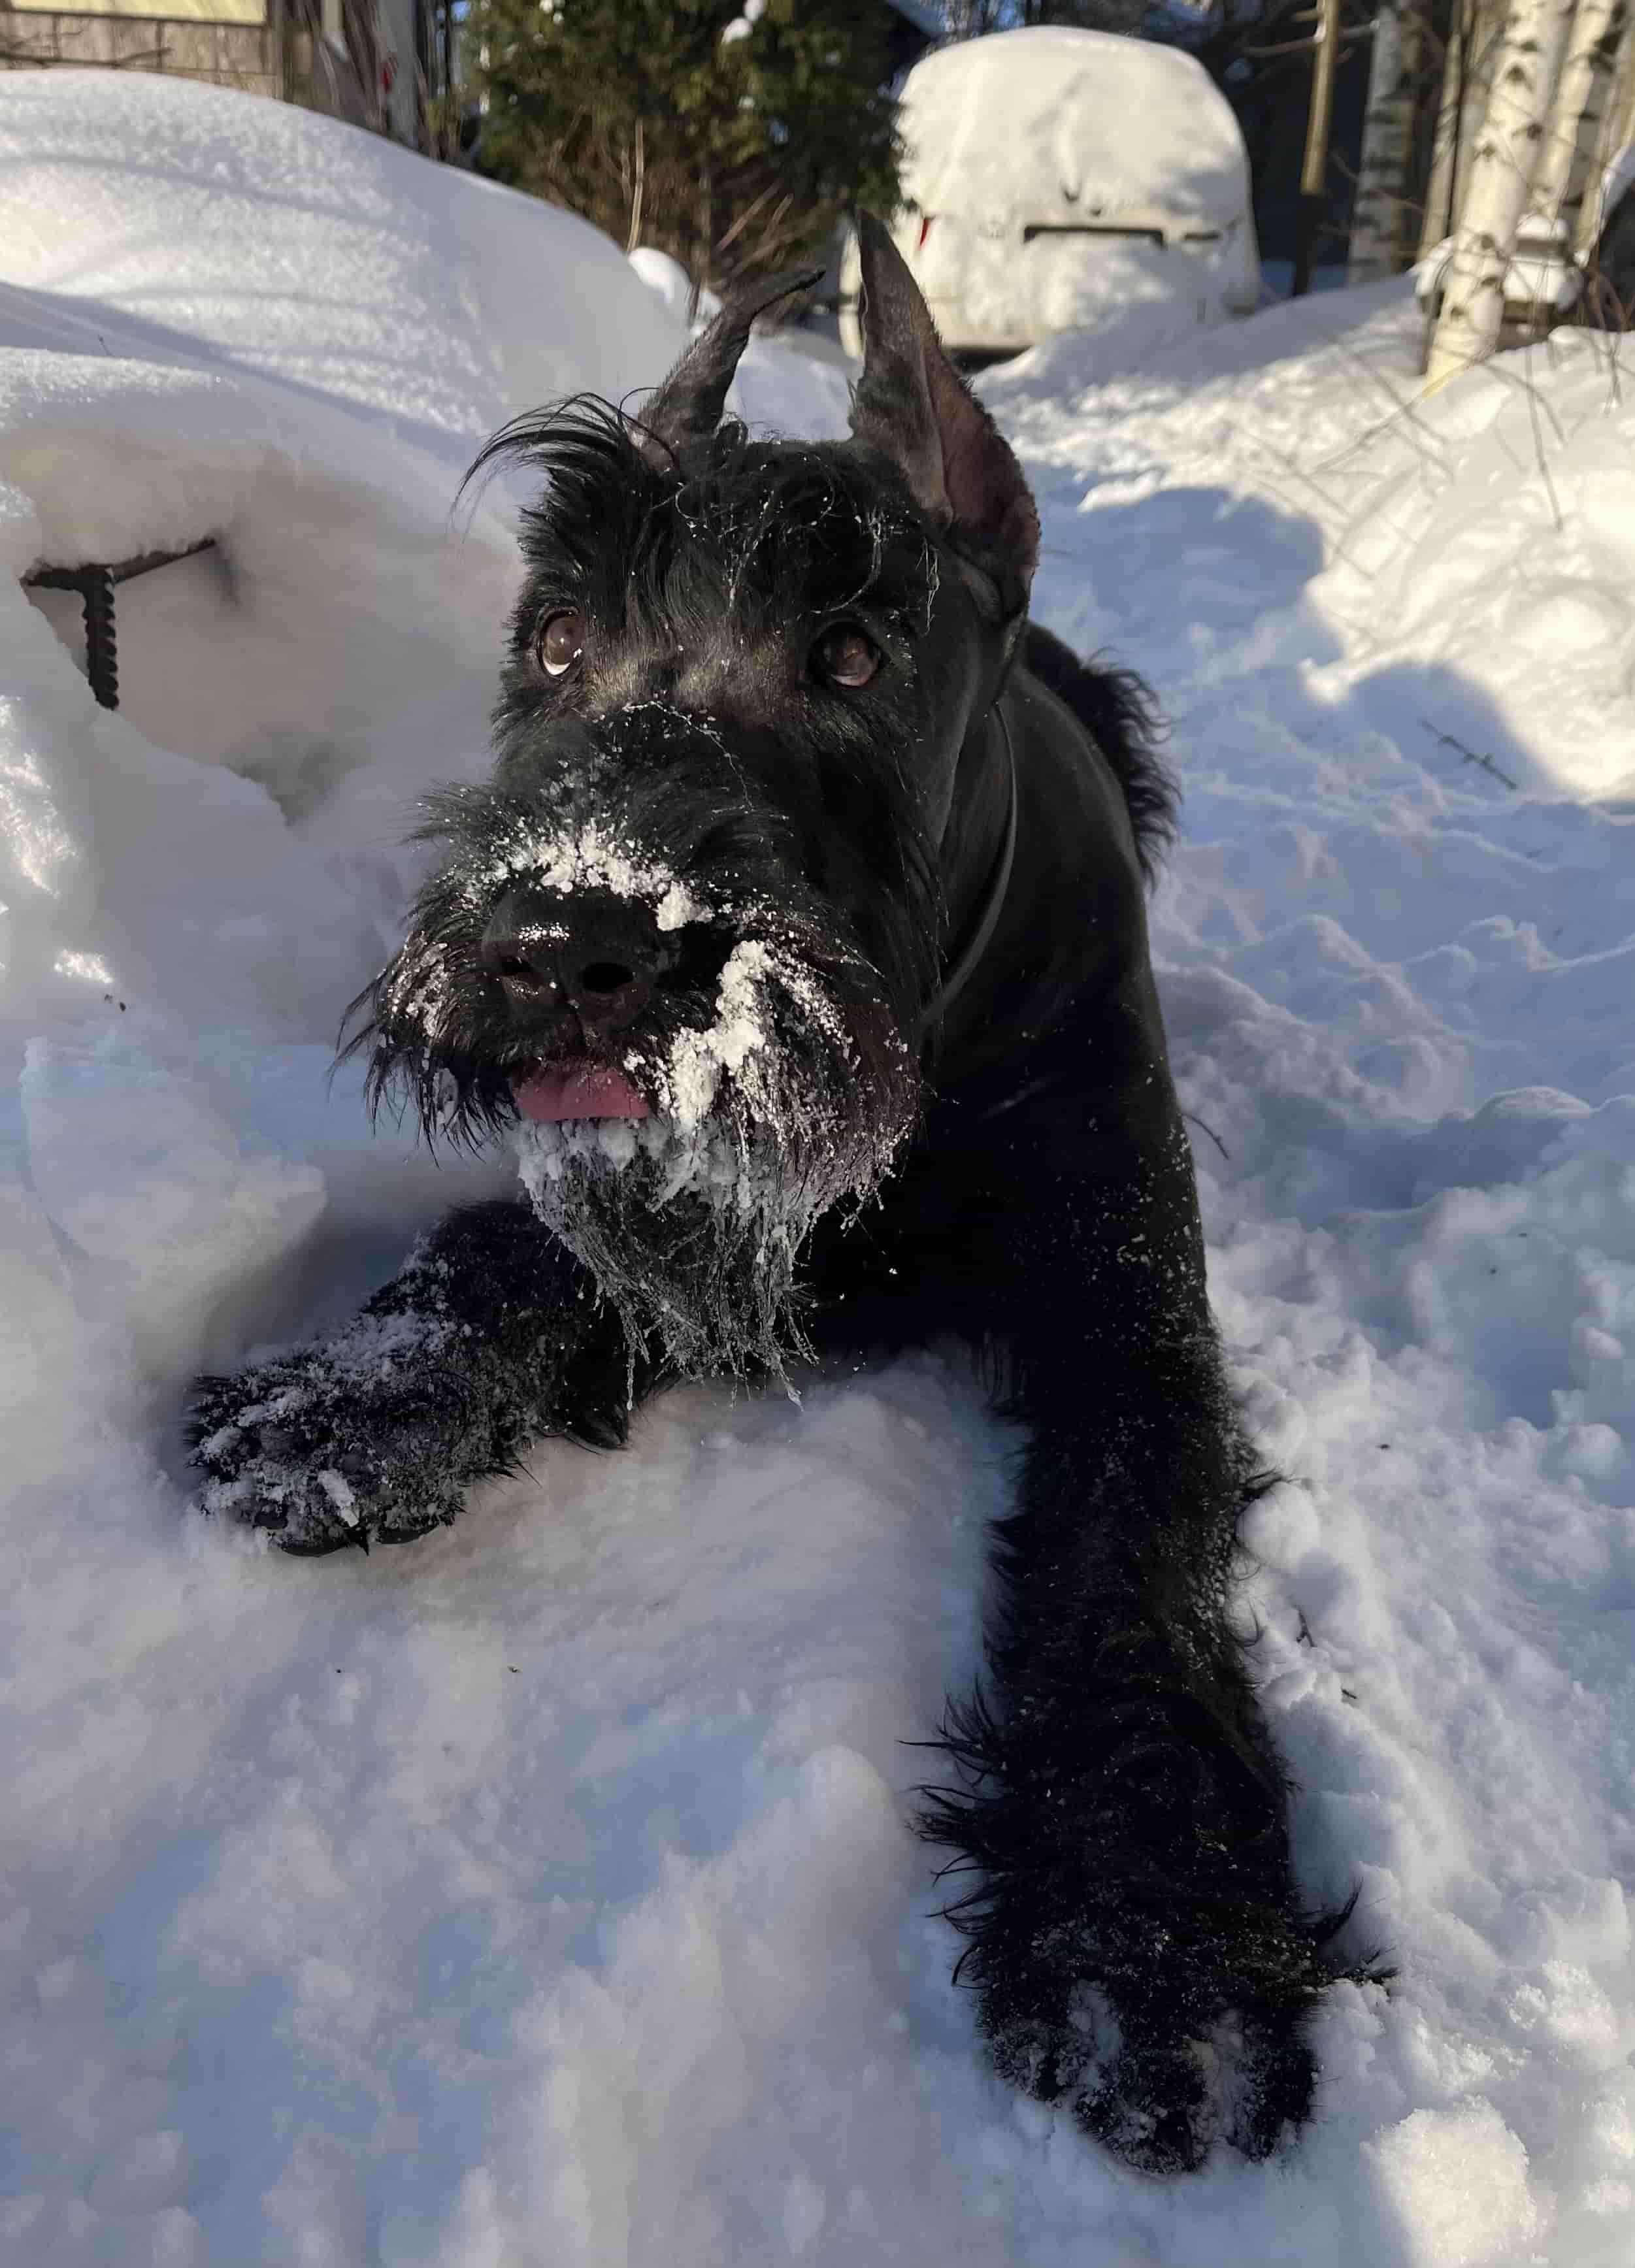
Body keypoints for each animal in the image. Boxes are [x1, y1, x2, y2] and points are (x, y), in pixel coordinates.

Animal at [190, 216, 1352, 2173]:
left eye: (856, 650)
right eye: (556, 637)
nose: (560, 942)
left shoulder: (1126, 1310)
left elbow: (1135, 1549)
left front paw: (1147, 1924)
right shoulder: (659, 1192)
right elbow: (512, 1250)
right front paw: (356, 1392)